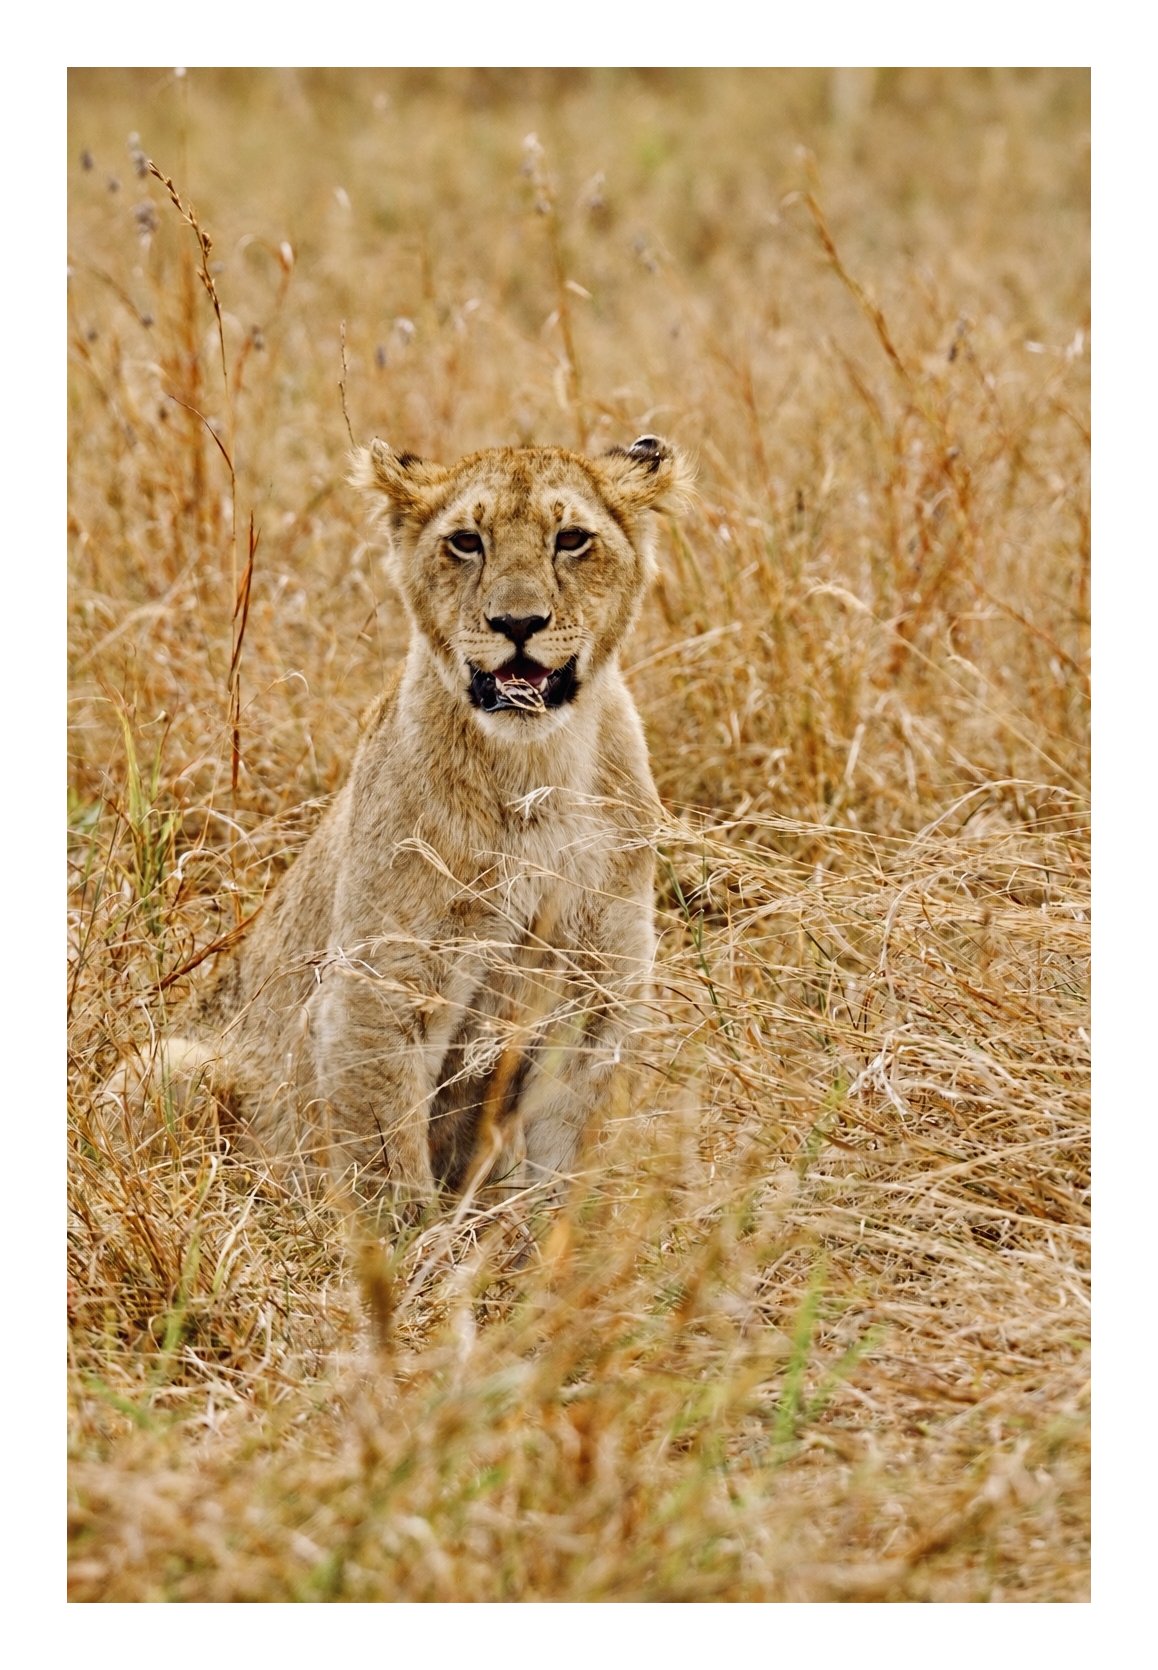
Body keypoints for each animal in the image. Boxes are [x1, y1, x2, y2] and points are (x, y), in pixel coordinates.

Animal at [172, 434, 693, 1210]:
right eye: (466, 542)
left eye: (571, 539)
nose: (517, 625)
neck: (536, 770)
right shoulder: (380, 986)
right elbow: (385, 1163)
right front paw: (413, 1241)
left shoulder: (598, 988)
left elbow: (562, 1161)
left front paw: (547, 1239)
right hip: (174, 1066)